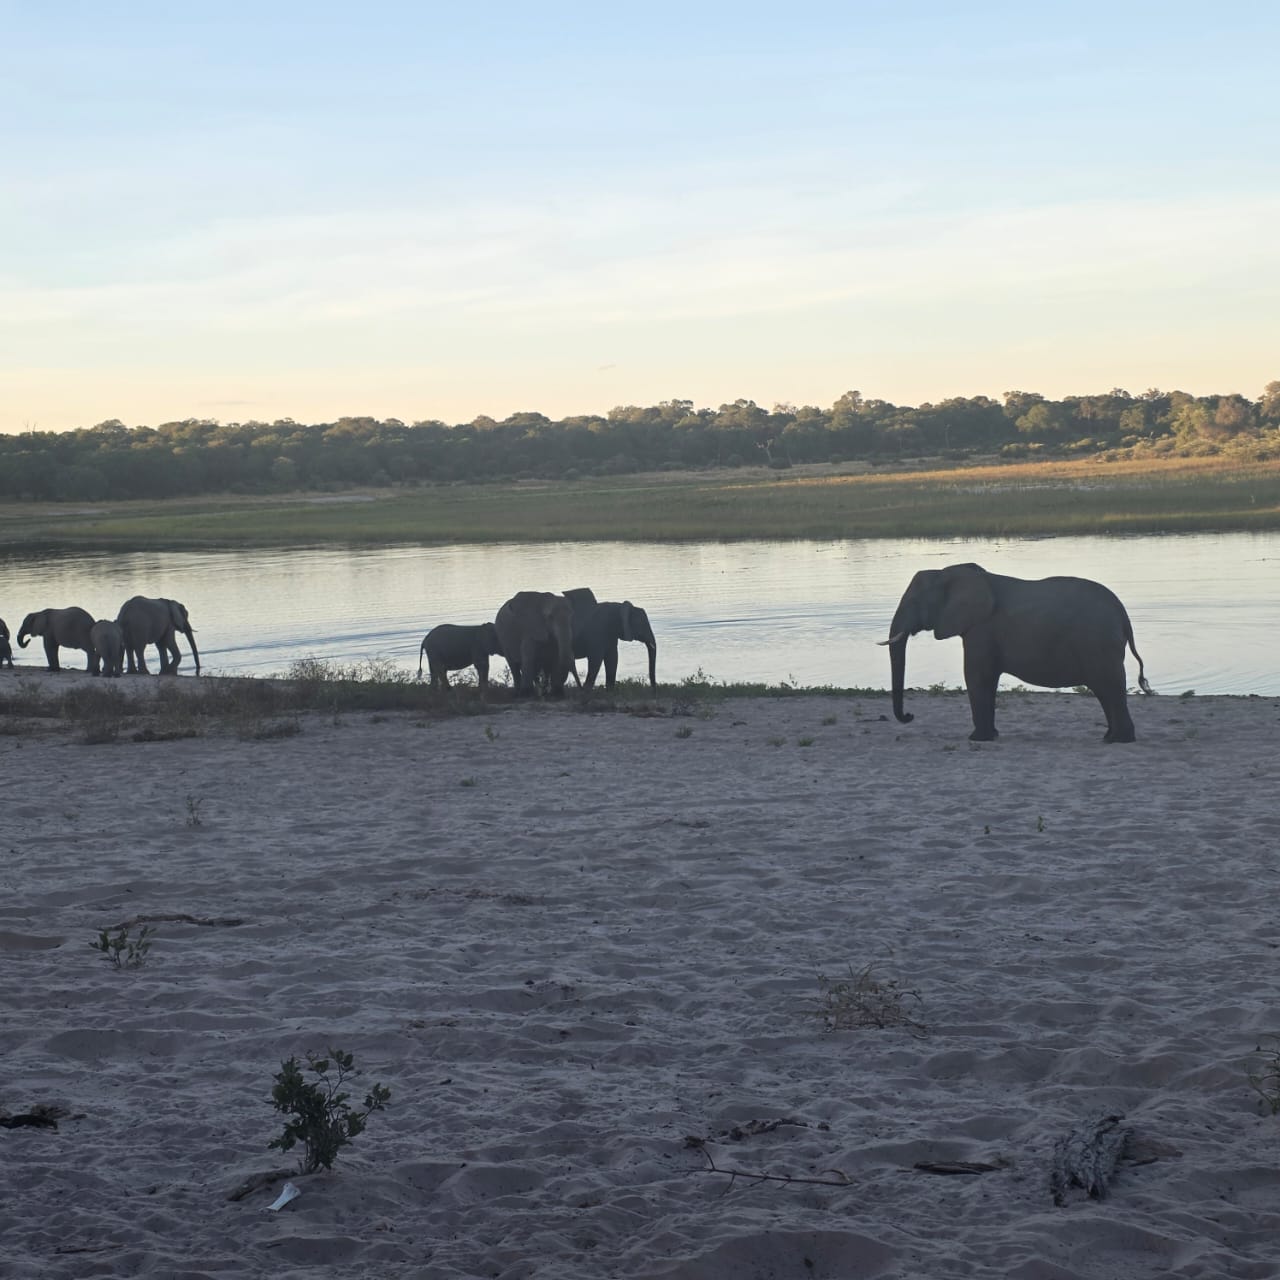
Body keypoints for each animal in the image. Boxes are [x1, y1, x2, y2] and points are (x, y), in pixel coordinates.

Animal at [882, 562, 1152, 742]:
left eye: (913, 601)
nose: (910, 715)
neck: (951, 572)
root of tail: (1123, 615)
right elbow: (986, 679)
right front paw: (990, 736)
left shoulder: (981, 628)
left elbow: (977, 676)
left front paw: (977, 739)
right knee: (1106, 690)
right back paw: (1110, 737)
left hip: (1099, 643)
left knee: (1109, 687)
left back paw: (1118, 740)